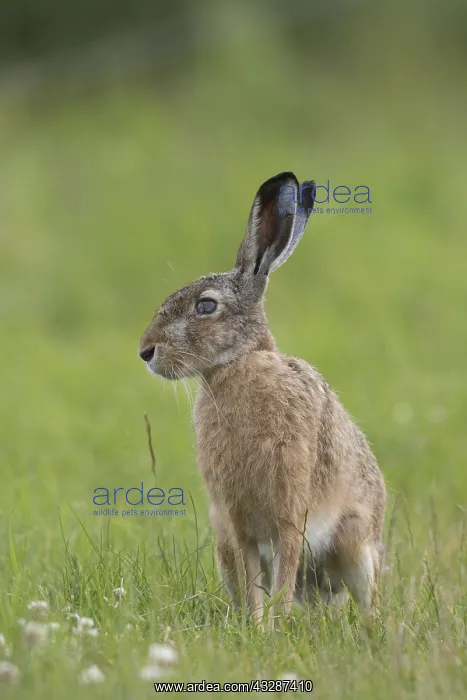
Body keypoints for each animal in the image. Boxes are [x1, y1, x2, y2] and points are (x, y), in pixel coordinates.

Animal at [139, 172, 386, 624]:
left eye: (206, 306)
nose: (146, 351)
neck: (238, 365)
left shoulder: (292, 514)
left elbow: (283, 578)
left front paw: (277, 626)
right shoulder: (239, 527)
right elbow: (256, 582)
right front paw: (257, 628)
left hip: (355, 542)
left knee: (364, 596)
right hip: (223, 547)